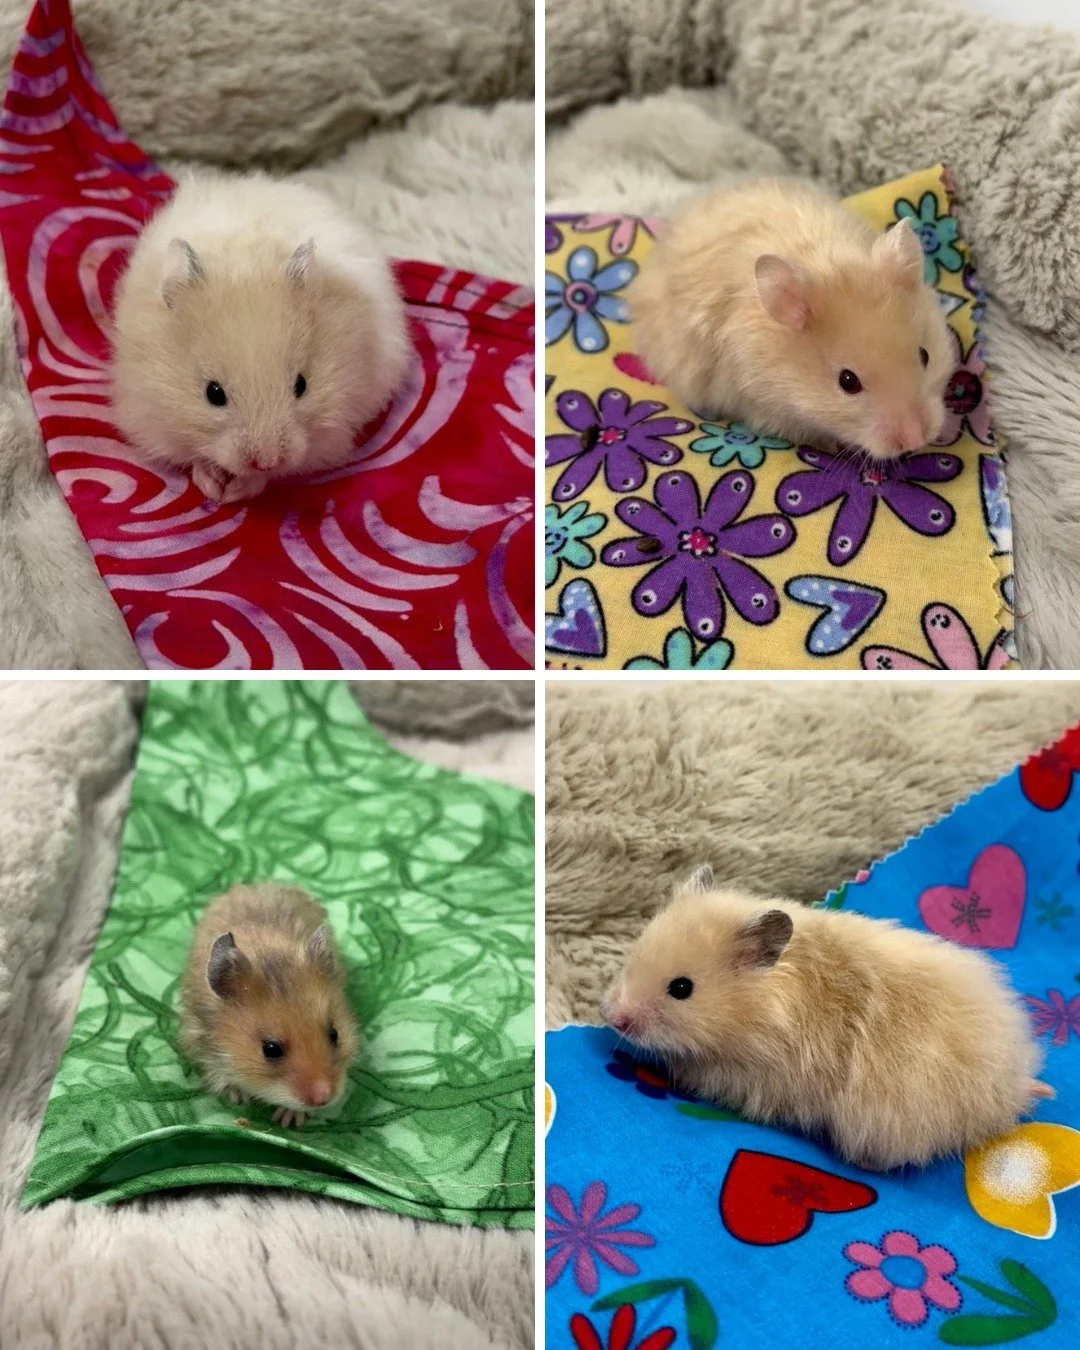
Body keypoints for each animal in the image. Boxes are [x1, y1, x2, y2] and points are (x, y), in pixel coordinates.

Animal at [110, 171, 411, 502]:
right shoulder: (153, 417)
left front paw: (237, 490)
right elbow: (195, 456)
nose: (266, 461)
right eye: (213, 393)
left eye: (301, 385)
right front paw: (214, 488)